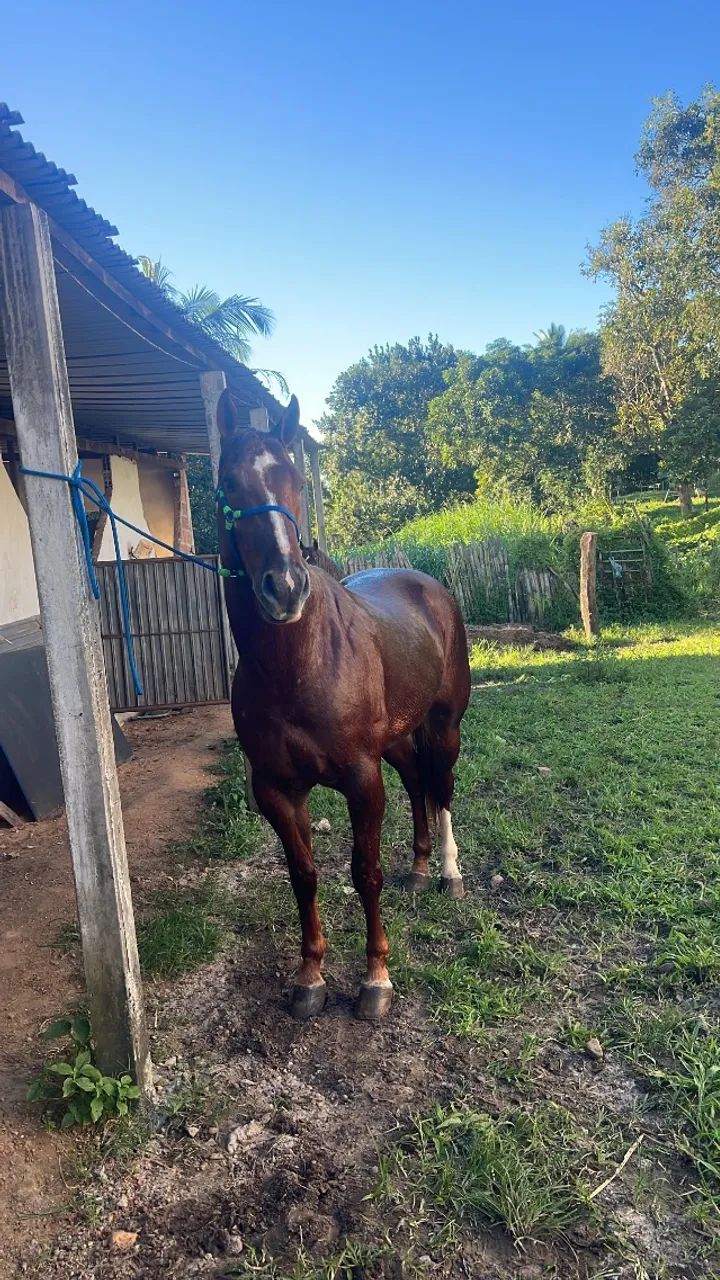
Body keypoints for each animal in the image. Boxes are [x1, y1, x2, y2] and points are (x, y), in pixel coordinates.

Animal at [216, 391, 471, 1020]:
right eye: (228, 483)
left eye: (293, 479)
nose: (284, 587)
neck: (297, 666)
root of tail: (430, 586)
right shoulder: (277, 790)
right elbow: (303, 874)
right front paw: (310, 976)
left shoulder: (360, 778)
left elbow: (365, 873)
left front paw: (376, 978)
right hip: (397, 740)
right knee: (417, 784)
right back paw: (420, 869)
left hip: (445, 727)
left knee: (442, 788)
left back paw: (448, 872)